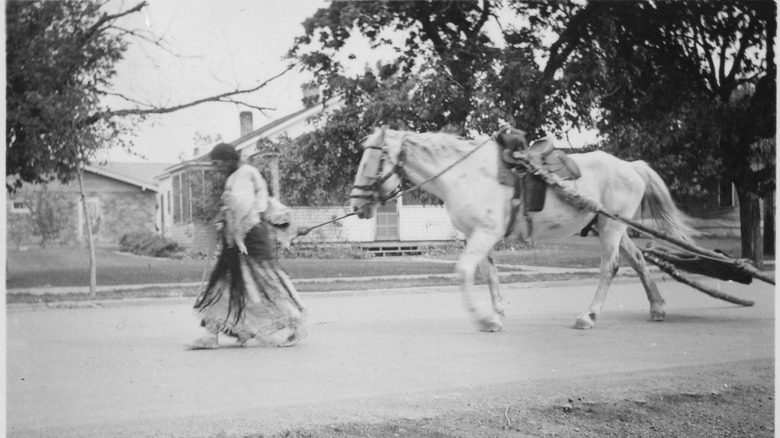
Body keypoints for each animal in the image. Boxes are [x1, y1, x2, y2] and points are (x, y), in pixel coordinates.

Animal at [348, 128, 696, 330]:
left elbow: (464, 272)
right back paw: (657, 308)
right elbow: (489, 274)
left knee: (610, 267)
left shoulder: (484, 234)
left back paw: (588, 316)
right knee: (637, 260)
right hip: (612, 226)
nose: (357, 204)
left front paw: (483, 318)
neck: (463, 174)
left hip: (611, 226)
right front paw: (496, 314)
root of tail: (632, 166)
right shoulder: (478, 235)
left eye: (371, 163)